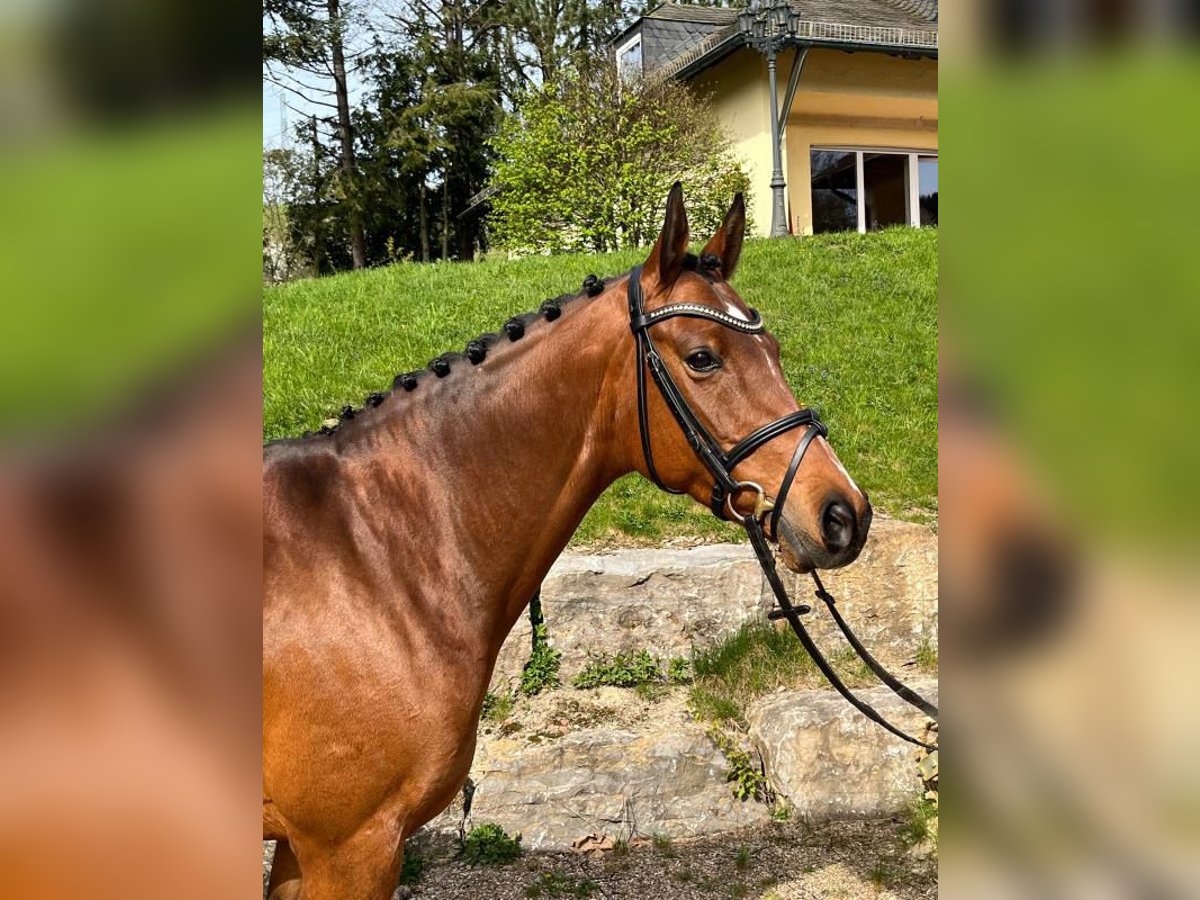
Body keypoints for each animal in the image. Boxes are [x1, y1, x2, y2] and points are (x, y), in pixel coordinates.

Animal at [262, 187, 868, 897]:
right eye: (702, 357)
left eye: (771, 348)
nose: (843, 514)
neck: (377, 557)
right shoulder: (347, 848)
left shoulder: (305, 849)